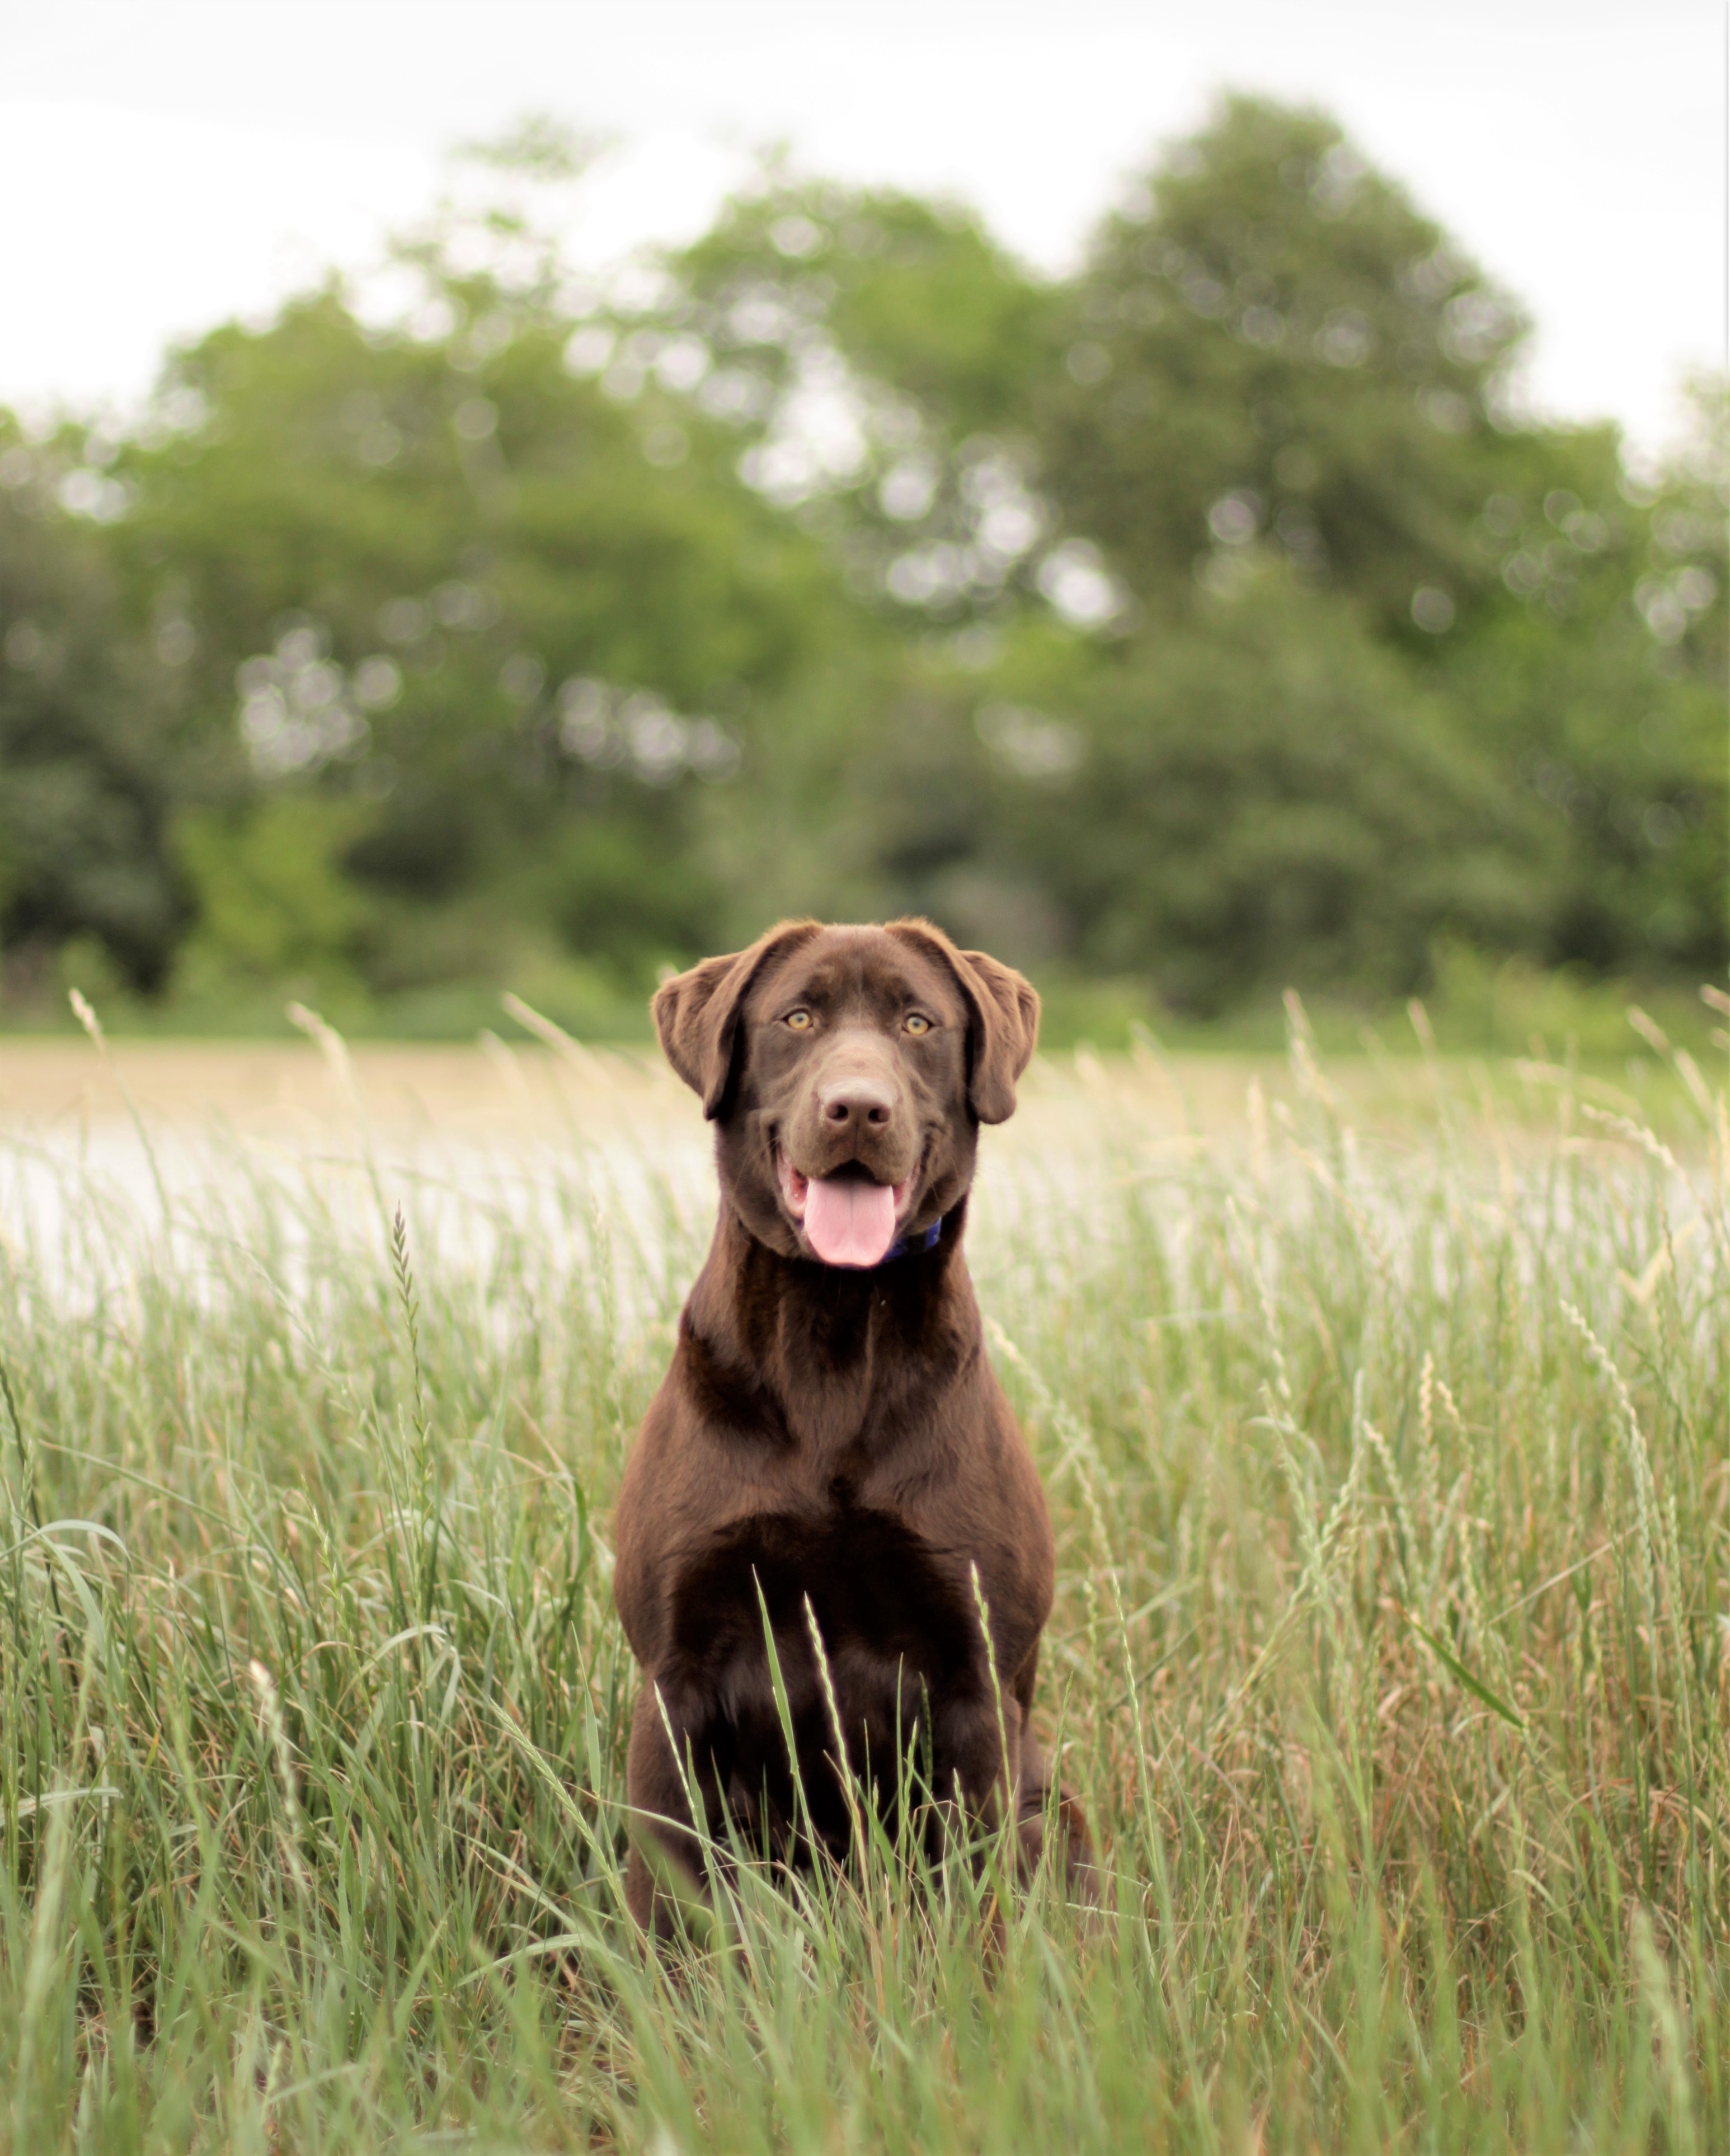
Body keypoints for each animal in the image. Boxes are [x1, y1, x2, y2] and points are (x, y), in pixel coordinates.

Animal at [608, 918, 1091, 1932]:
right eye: (797, 1017)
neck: (832, 1332)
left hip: (1053, 1799)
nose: (858, 1108)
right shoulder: (673, 1676)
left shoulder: (975, 1684)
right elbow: (666, 1903)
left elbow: (979, 1902)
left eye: (917, 1021)